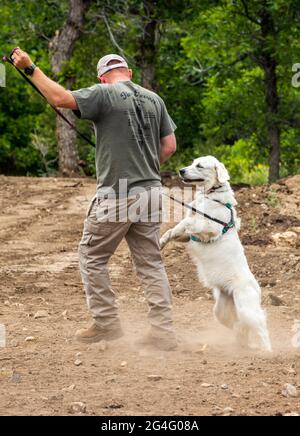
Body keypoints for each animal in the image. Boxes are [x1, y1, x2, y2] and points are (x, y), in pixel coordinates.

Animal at [162, 155, 272, 352]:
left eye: (199, 166)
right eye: (192, 162)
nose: (181, 170)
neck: (210, 195)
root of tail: (257, 288)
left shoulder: (211, 226)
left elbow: (187, 222)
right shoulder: (189, 236)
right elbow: (175, 230)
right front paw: (162, 240)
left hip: (247, 310)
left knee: (261, 328)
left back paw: (268, 353)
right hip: (221, 311)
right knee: (239, 326)